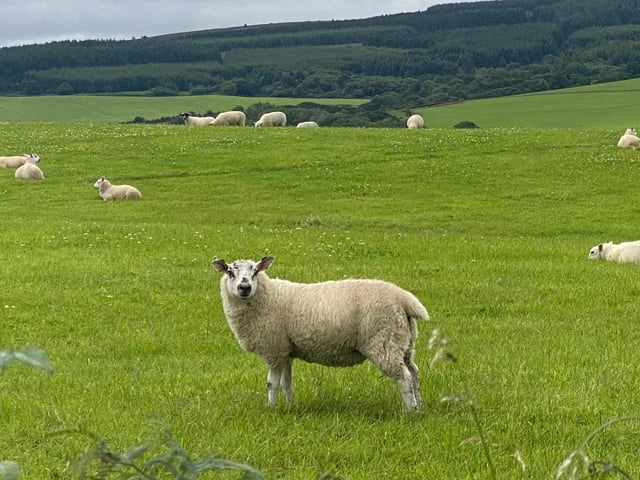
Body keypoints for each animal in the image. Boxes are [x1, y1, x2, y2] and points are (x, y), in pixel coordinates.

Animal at [212, 255, 429, 411]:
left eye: (255, 271)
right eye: (230, 272)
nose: (244, 287)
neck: (268, 297)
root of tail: (403, 298)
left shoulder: (273, 349)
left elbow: (272, 384)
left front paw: (272, 408)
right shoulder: (286, 351)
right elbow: (286, 383)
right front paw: (290, 406)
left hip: (384, 342)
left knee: (404, 377)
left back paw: (409, 411)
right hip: (403, 342)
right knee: (414, 372)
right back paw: (419, 406)